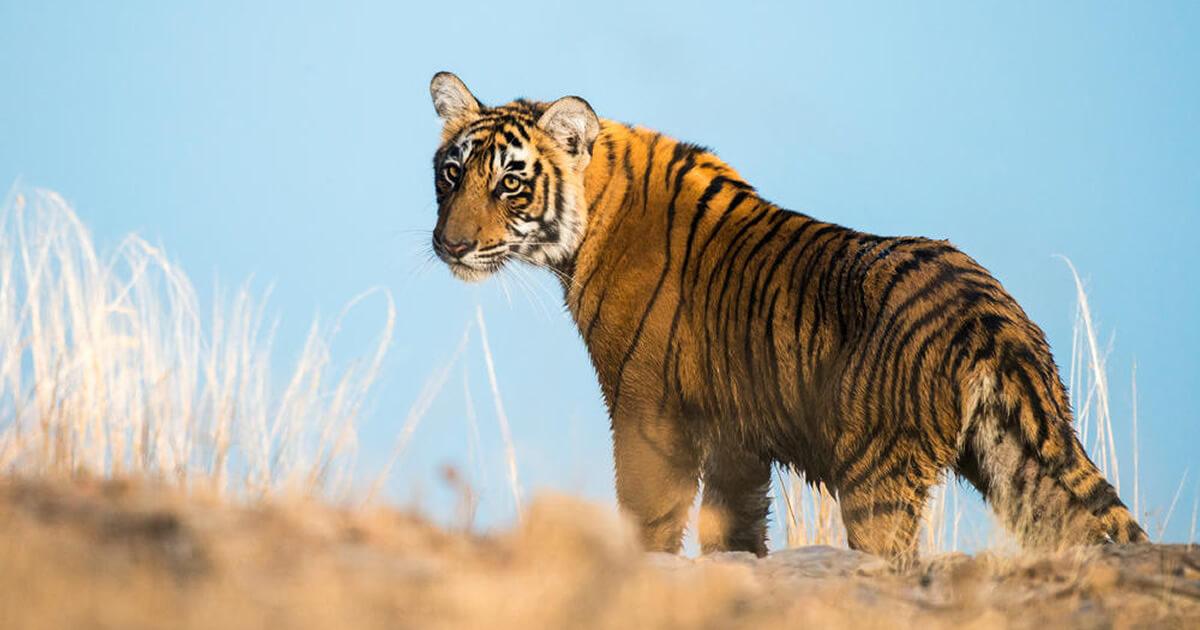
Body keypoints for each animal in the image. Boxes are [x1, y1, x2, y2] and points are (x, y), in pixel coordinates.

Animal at [427, 72, 1147, 559]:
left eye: (511, 182)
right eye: (452, 173)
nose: (450, 245)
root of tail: (993, 315)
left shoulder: (647, 414)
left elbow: (649, 519)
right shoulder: (735, 436)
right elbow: (735, 530)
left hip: (878, 473)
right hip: (1021, 465)